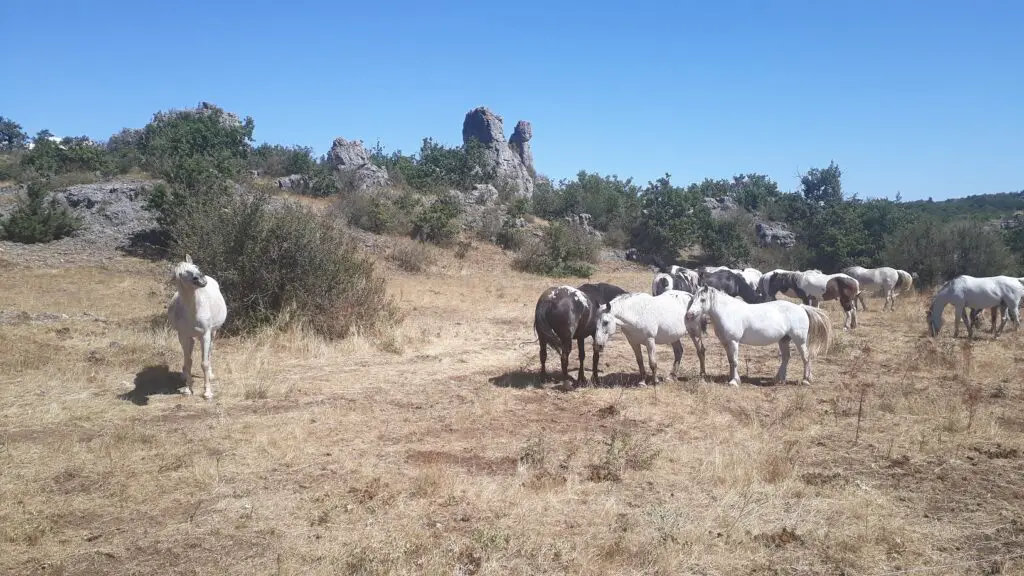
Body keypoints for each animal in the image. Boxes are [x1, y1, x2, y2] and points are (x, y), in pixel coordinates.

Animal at [167, 253, 228, 397]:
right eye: (180, 274)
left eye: (195, 266)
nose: (200, 279)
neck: (193, 310)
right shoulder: (183, 336)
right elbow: (188, 361)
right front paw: (188, 389)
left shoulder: (205, 335)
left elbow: (204, 363)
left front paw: (207, 392)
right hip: (187, 337)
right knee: (189, 353)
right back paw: (184, 375)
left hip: (213, 333)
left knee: (210, 352)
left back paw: (210, 375)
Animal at [679, 282, 831, 385]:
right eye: (692, 299)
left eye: (703, 300)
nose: (689, 315)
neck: (728, 312)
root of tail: (801, 307)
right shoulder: (726, 343)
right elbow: (730, 360)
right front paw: (732, 378)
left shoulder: (734, 342)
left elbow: (735, 361)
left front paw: (734, 382)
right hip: (783, 340)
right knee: (786, 357)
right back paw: (779, 379)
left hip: (800, 340)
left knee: (805, 357)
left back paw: (805, 380)